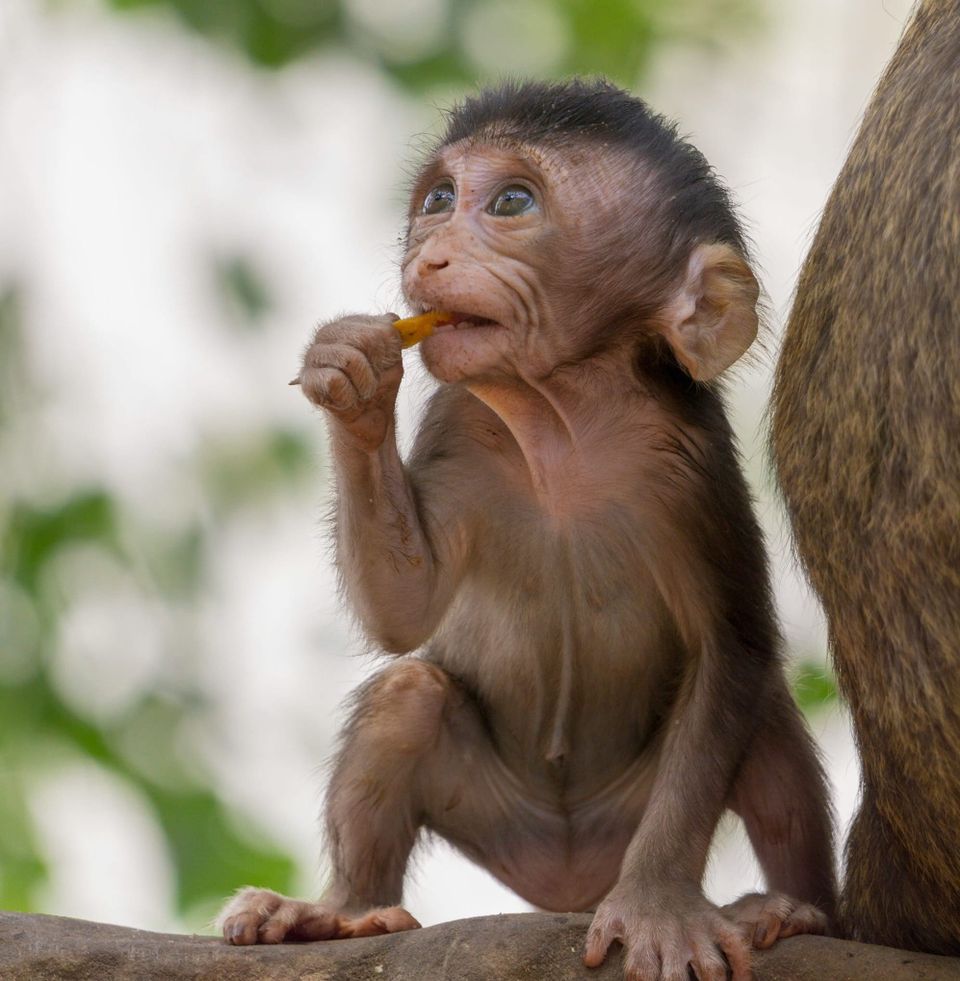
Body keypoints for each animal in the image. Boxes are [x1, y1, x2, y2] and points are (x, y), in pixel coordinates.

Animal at [219, 79, 836, 981]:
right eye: (439, 200)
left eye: (512, 202)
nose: (430, 257)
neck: (558, 425)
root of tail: (567, 881)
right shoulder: (461, 421)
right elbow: (404, 609)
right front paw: (353, 374)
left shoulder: (688, 467)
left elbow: (735, 647)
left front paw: (659, 905)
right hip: (503, 816)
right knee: (409, 692)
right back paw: (341, 910)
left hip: (626, 816)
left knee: (765, 716)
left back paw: (798, 908)